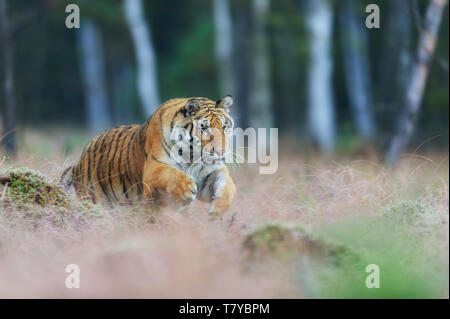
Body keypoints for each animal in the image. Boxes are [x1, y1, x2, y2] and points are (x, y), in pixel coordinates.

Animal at [61, 95, 237, 220]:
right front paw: (186, 190)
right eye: (204, 128)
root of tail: (79, 162)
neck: (192, 156)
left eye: (224, 126)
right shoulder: (152, 170)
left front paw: (216, 211)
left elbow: (229, 186)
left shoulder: (209, 173)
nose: (221, 152)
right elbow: (170, 173)